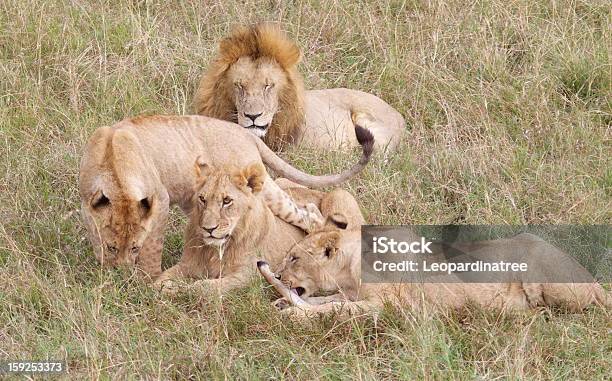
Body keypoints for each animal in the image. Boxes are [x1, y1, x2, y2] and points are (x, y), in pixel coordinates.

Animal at [78, 113, 370, 276]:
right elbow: (95, 234)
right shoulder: (87, 206)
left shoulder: (160, 200)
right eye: (112, 247)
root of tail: (244, 132)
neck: (113, 165)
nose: (122, 274)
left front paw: (145, 282)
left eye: (135, 247)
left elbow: (153, 249)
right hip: (198, 202)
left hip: (262, 190)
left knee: (309, 214)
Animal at [270, 218, 608, 316]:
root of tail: (594, 281)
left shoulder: (387, 305)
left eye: (294, 258)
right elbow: (329, 299)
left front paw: (294, 315)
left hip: (536, 257)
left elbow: (336, 308)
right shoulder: (352, 293)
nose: (277, 275)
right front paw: (284, 303)